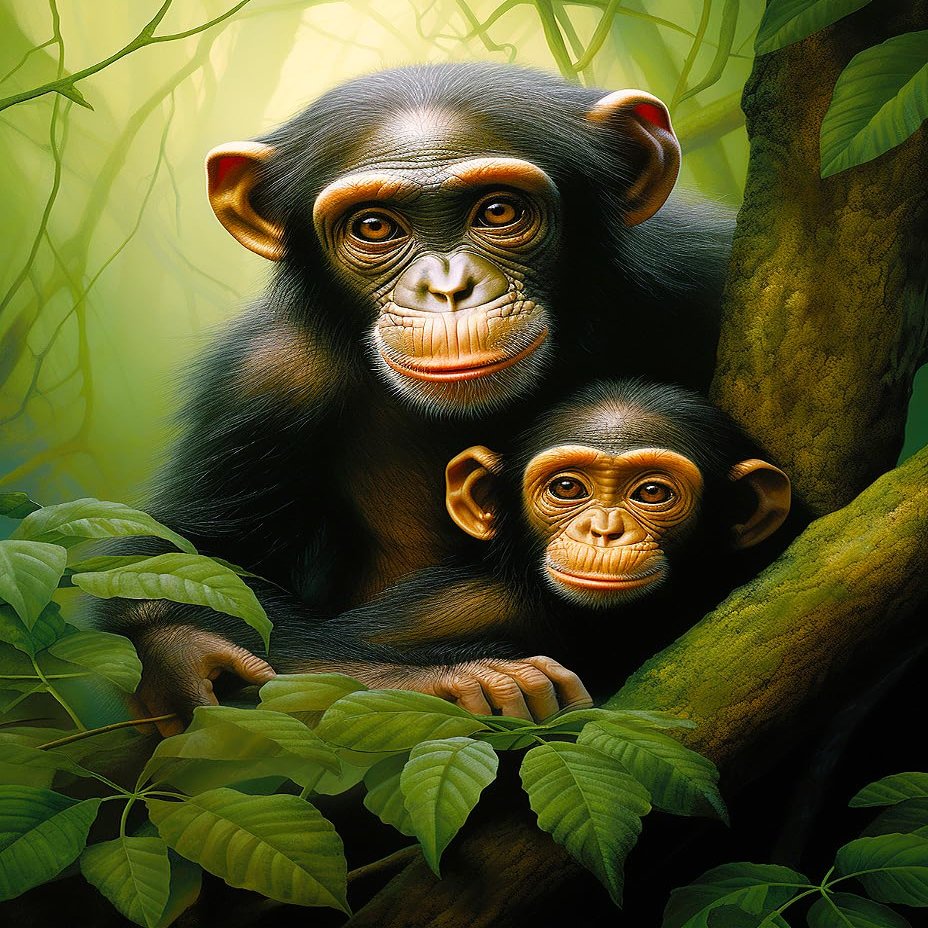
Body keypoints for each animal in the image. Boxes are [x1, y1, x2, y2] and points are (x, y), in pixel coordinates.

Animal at [93, 64, 733, 732]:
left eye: (499, 210)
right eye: (374, 226)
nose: (448, 288)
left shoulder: (700, 274)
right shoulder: (262, 380)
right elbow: (187, 564)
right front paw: (445, 681)